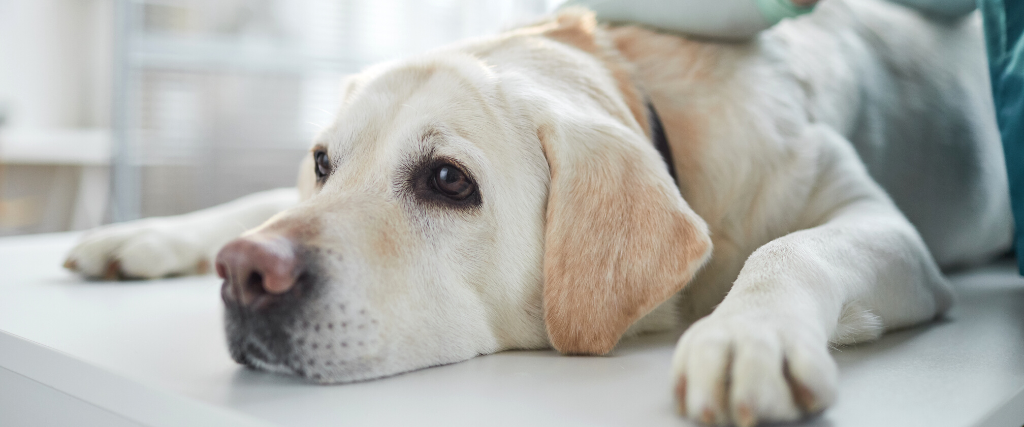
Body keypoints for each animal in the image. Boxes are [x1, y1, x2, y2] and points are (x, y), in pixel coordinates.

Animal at [59, 0, 1011, 421]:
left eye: (449, 181)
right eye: (324, 162)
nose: (245, 273)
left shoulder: (883, 227)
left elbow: (791, 248)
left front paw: (749, 335)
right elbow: (260, 193)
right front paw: (142, 233)